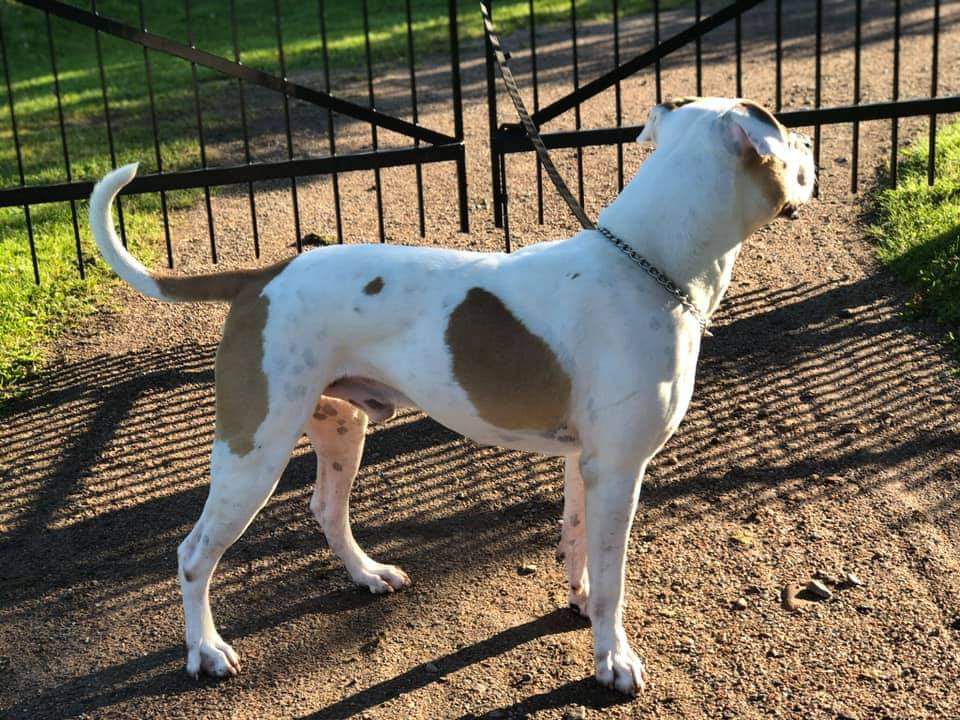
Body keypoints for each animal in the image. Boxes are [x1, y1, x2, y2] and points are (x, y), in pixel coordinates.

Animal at [88, 98, 808, 696]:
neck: (647, 264)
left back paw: (367, 573)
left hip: (340, 428)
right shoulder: (621, 470)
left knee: (325, 508)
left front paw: (577, 600)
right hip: (252, 452)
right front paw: (613, 660)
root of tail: (263, 275)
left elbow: (576, 539)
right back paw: (206, 650)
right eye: (778, 124)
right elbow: (613, 580)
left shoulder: (590, 465)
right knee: (193, 555)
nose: (807, 140)